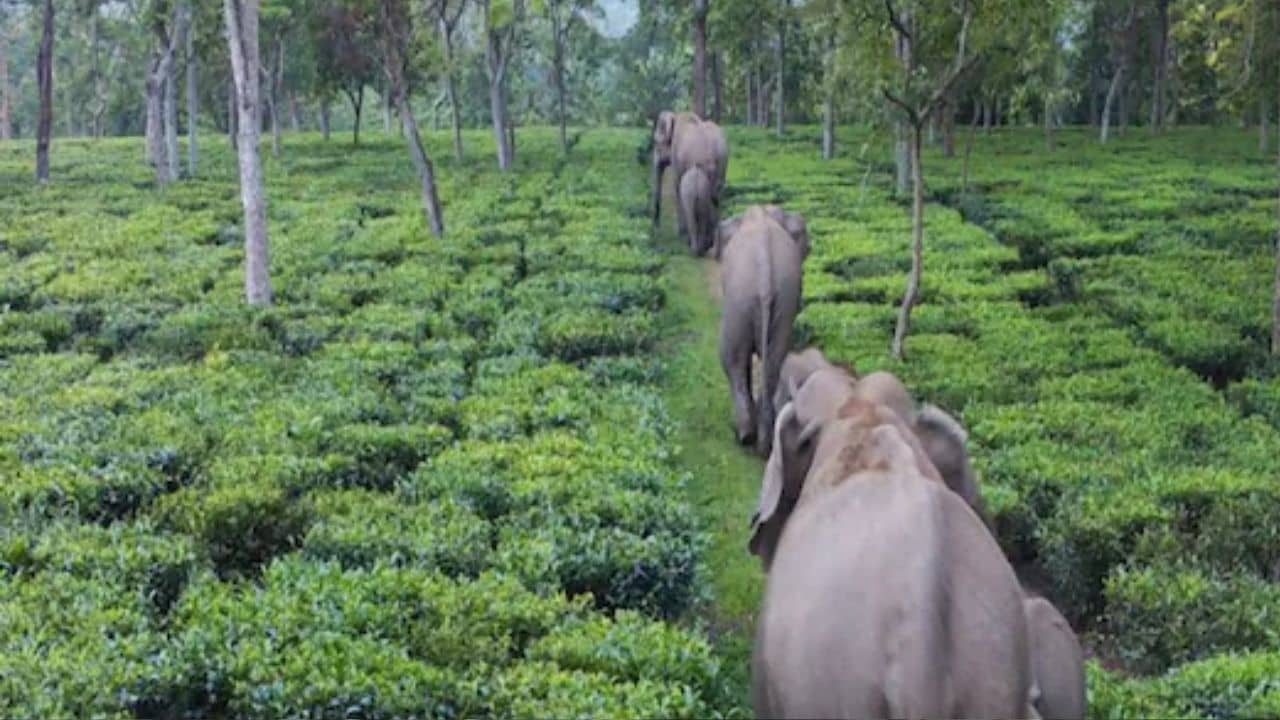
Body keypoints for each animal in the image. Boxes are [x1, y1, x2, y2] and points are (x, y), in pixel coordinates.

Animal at [650, 110, 729, 240]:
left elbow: (677, 186)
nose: (656, 229)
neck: (676, 116)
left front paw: (680, 233)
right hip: (722, 164)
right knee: (716, 194)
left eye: (656, 144)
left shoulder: (676, 155)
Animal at [717, 205, 810, 455]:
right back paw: (763, 443)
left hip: (738, 304)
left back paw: (744, 435)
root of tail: (765, 282)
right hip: (782, 304)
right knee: (774, 363)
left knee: (732, 360)